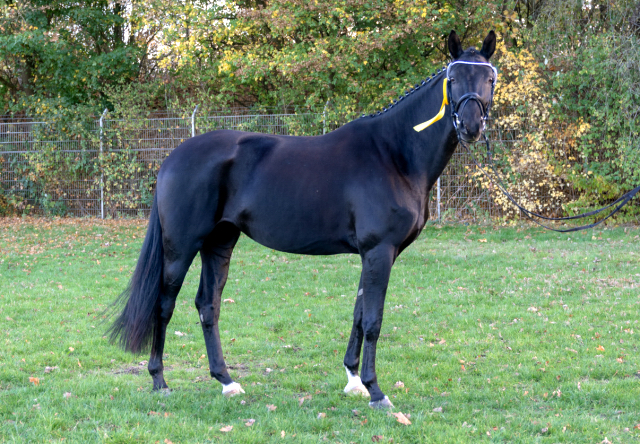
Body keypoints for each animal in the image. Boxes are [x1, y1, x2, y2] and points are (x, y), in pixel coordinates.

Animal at [110, 29, 498, 408]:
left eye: (490, 79)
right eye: (453, 78)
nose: (471, 127)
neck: (394, 154)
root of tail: (172, 158)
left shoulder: (371, 254)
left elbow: (358, 314)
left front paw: (354, 381)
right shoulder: (379, 250)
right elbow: (373, 320)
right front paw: (376, 392)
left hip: (219, 242)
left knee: (208, 305)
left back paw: (227, 382)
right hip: (181, 247)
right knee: (164, 304)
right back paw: (160, 381)